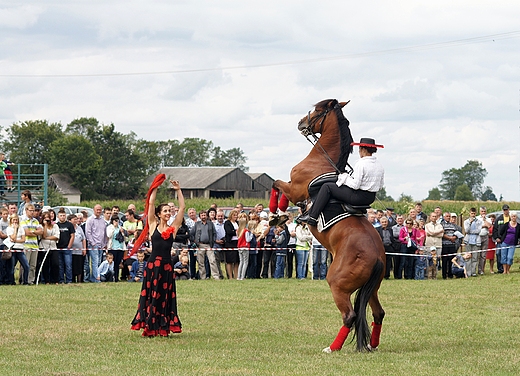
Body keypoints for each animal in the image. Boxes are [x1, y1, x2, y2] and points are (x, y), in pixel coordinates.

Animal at [272, 99, 386, 352]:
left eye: (316, 109)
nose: (300, 123)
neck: (321, 161)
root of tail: (376, 257)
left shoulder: (295, 189)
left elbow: (276, 184)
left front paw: (276, 213)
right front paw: (280, 216)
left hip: (338, 285)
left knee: (350, 316)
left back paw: (332, 348)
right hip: (372, 288)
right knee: (378, 313)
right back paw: (372, 345)